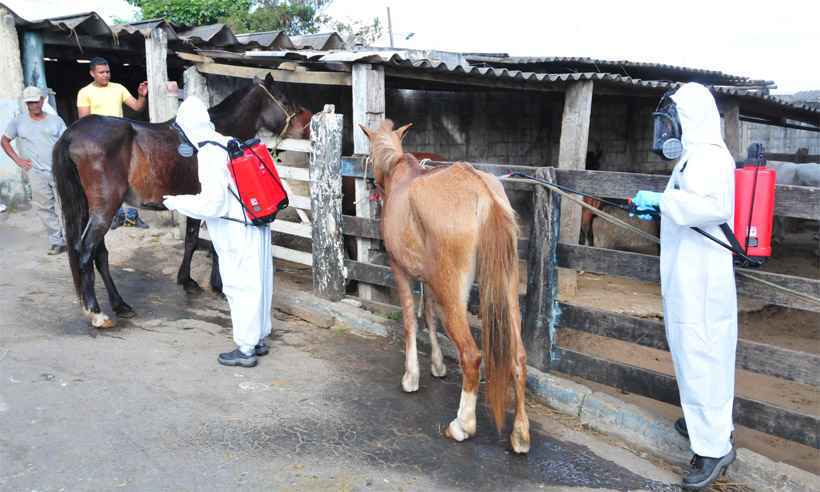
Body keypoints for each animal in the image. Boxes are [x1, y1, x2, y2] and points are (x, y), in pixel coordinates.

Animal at [53, 74, 310, 326]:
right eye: (284, 101)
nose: (306, 129)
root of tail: (71, 134)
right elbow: (203, 243)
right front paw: (212, 285)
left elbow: (193, 241)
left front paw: (189, 280)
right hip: (104, 209)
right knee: (86, 251)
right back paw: (96, 312)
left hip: (91, 209)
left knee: (100, 255)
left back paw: (120, 305)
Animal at [360, 119, 532, 454]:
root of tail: (483, 192)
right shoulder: (428, 280)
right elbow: (429, 316)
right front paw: (438, 365)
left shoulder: (401, 270)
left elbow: (411, 320)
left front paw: (411, 376)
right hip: (505, 289)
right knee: (518, 356)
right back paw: (520, 434)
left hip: (452, 293)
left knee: (471, 355)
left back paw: (462, 425)